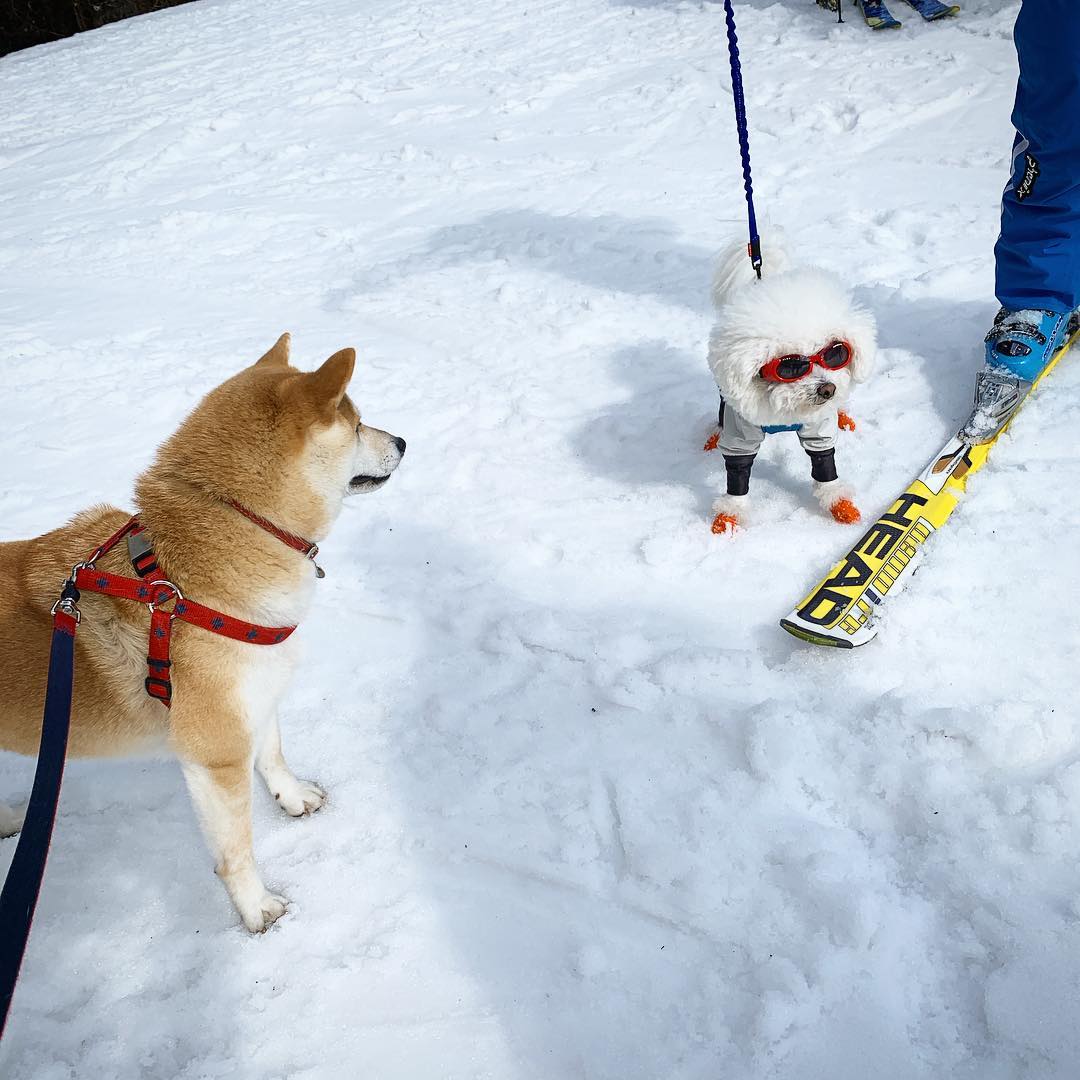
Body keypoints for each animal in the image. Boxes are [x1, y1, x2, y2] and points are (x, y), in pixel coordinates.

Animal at [0, 334, 406, 928]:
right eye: (355, 426)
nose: (402, 441)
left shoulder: (257, 691)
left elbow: (274, 754)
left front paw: (292, 798)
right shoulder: (215, 752)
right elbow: (237, 850)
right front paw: (258, 910)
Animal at [708, 240, 876, 535]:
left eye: (836, 352)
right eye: (791, 366)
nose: (827, 389)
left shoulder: (817, 428)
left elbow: (824, 463)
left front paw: (839, 503)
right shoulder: (741, 434)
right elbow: (737, 472)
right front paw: (730, 515)